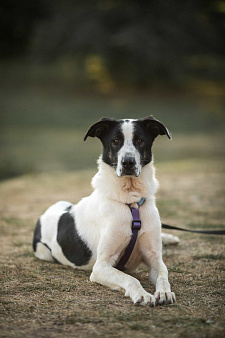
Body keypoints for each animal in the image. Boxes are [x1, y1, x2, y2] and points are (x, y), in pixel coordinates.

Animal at [32, 116, 178, 306]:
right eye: (115, 141)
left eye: (140, 140)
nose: (128, 162)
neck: (131, 204)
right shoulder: (101, 267)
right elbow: (130, 278)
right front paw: (143, 294)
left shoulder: (154, 258)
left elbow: (163, 273)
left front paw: (164, 292)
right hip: (43, 252)